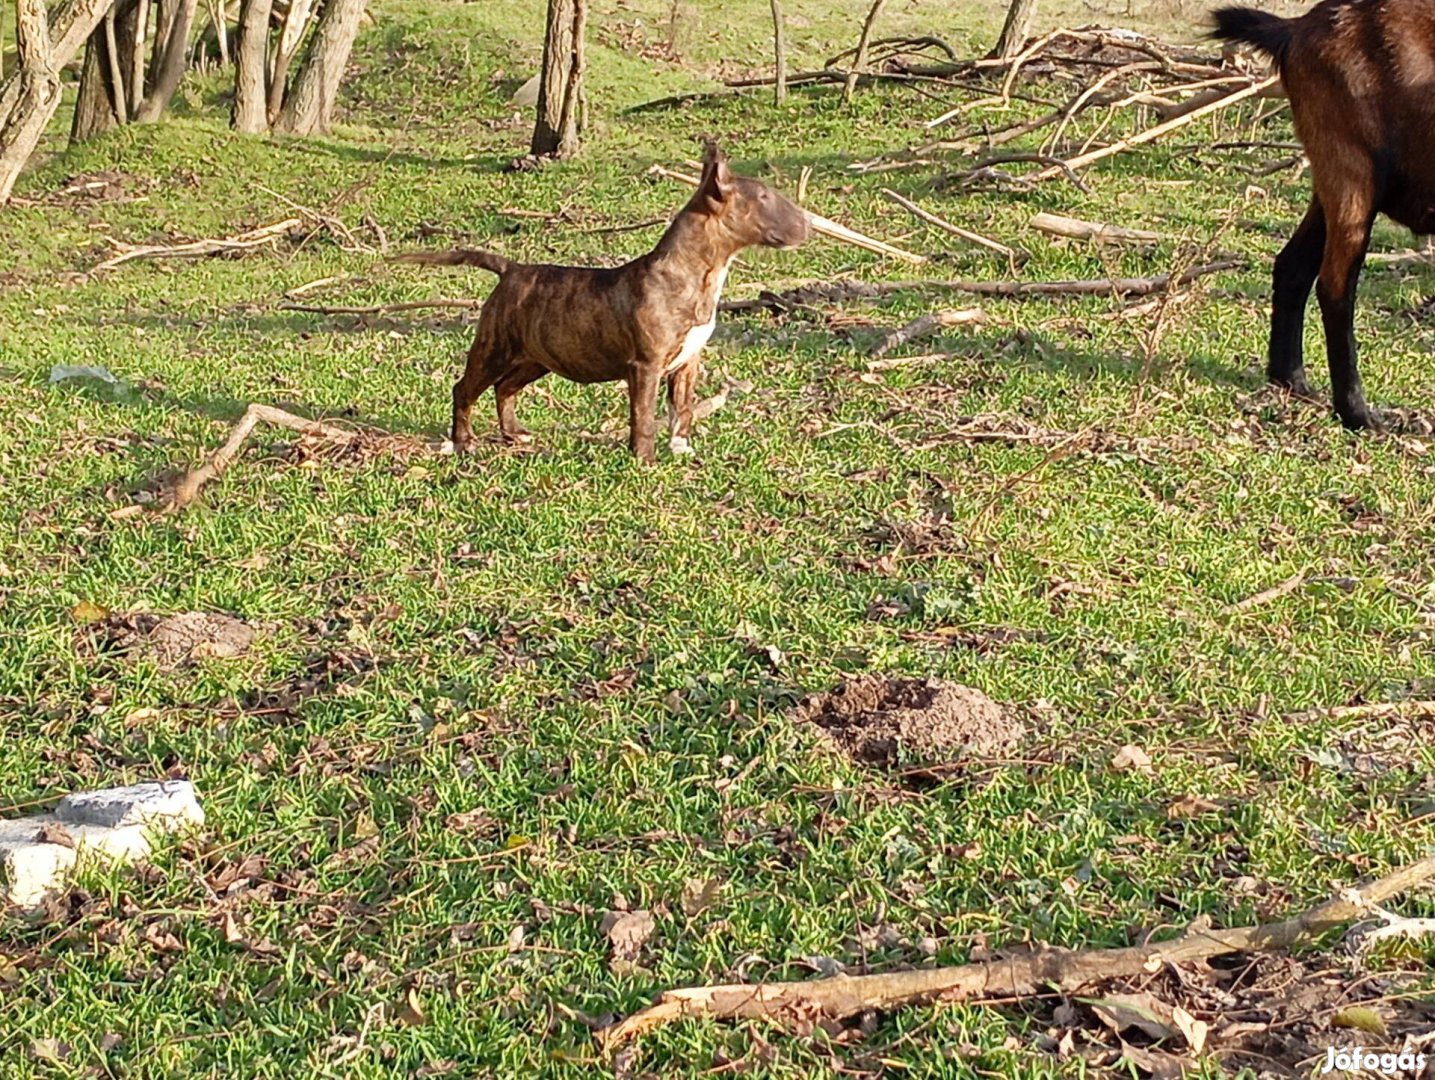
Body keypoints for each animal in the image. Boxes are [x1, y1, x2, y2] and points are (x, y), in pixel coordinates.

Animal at [1211, 0, 1435, 430]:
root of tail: (1295, 29)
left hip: (1330, 180)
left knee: (1292, 266)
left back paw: (1292, 380)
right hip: (1352, 173)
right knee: (1334, 288)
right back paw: (1357, 413)